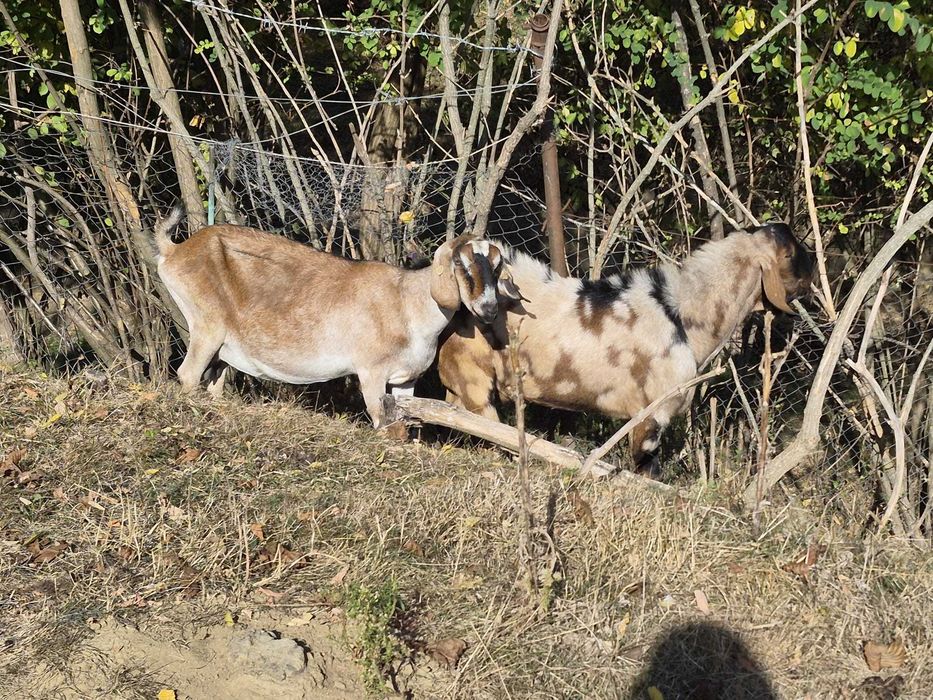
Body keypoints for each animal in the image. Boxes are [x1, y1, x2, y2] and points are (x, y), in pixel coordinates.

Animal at [153, 208, 520, 428]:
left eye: (497, 264)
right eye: (462, 264)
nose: (488, 308)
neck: (408, 304)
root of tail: (175, 250)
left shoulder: (405, 380)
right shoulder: (371, 371)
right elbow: (379, 418)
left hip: (222, 344)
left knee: (213, 379)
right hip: (207, 325)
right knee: (188, 374)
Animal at [438, 223, 814, 475]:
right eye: (792, 254)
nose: (813, 272)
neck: (681, 314)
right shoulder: (651, 415)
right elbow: (648, 475)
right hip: (474, 379)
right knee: (485, 425)